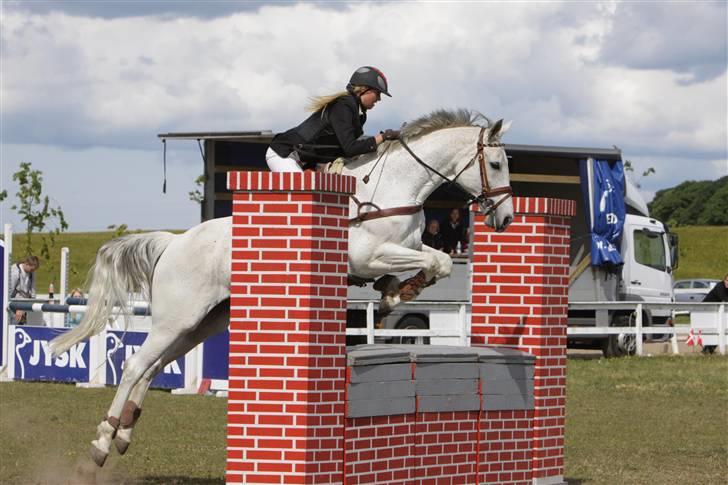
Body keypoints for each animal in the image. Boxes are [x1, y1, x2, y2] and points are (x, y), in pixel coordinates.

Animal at [49, 107, 512, 466]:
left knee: (152, 368)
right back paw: (102, 441)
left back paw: (123, 435)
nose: (504, 218)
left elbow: (439, 262)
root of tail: (175, 242)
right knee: (133, 366)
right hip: (174, 319)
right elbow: (432, 261)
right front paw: (397, 293)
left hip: (200, 323)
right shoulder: (368, 254)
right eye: (496, 164)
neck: (398, 187)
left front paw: (395, 293)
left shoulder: (403, 250)